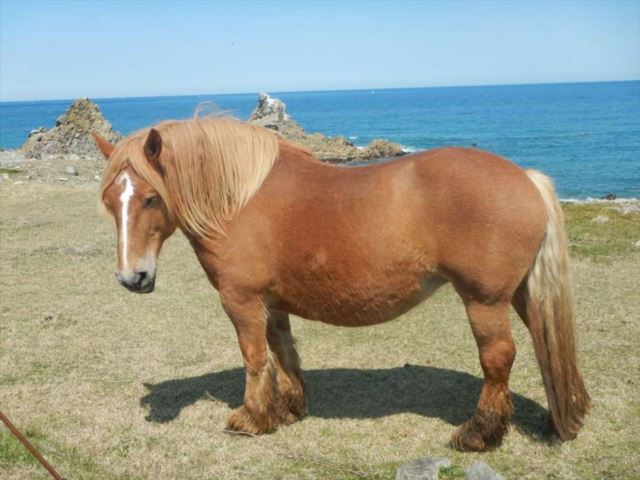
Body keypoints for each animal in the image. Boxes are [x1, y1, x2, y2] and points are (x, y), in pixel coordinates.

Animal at [93, 117, 589, 451]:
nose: (132, 277)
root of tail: (525, 178)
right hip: (520, 295)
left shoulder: (241, 300)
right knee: (545, 344)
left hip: (484, 301)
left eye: (151, 198)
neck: (238, 201)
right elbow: (283, 353)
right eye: (110, 202)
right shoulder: (273, 303)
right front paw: (289, 408)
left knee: (498, 359)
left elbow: (254, 358)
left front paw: (252, 418)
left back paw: (478, 433)